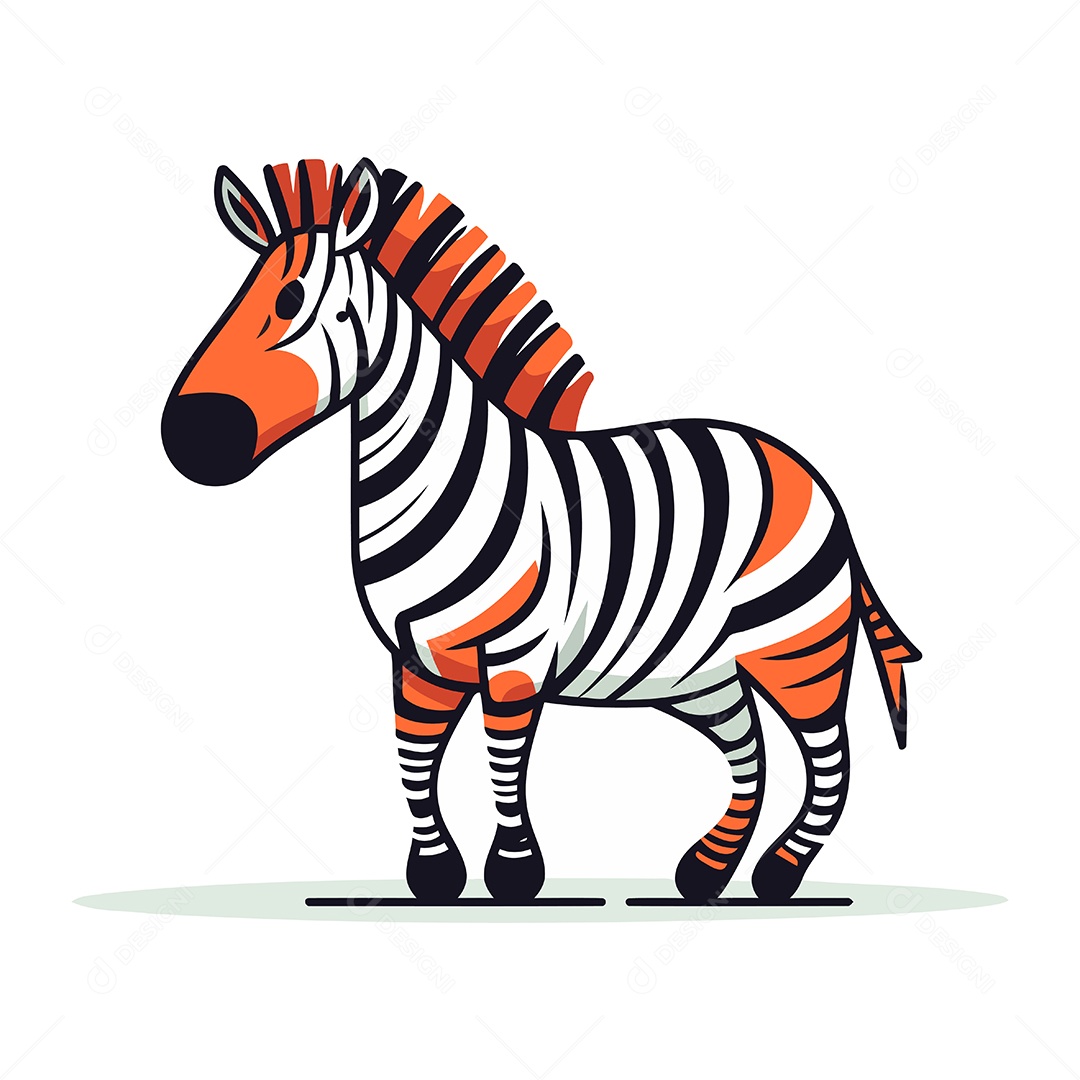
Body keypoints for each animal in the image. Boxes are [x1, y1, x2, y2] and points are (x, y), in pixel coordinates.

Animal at [161, 158, 921, 904]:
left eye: (290, 301)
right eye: (236, 299)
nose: (187, 438)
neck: (446, 477)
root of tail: (809, 476)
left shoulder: (516, 655)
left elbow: (504, 757)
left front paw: (514, 874)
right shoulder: (419, 658)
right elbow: (414, 757)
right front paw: (434, 875)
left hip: (798, 648)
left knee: (830, 763)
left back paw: (777, 874)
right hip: (701, 674)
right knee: (751, 750)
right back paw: (705, 874)